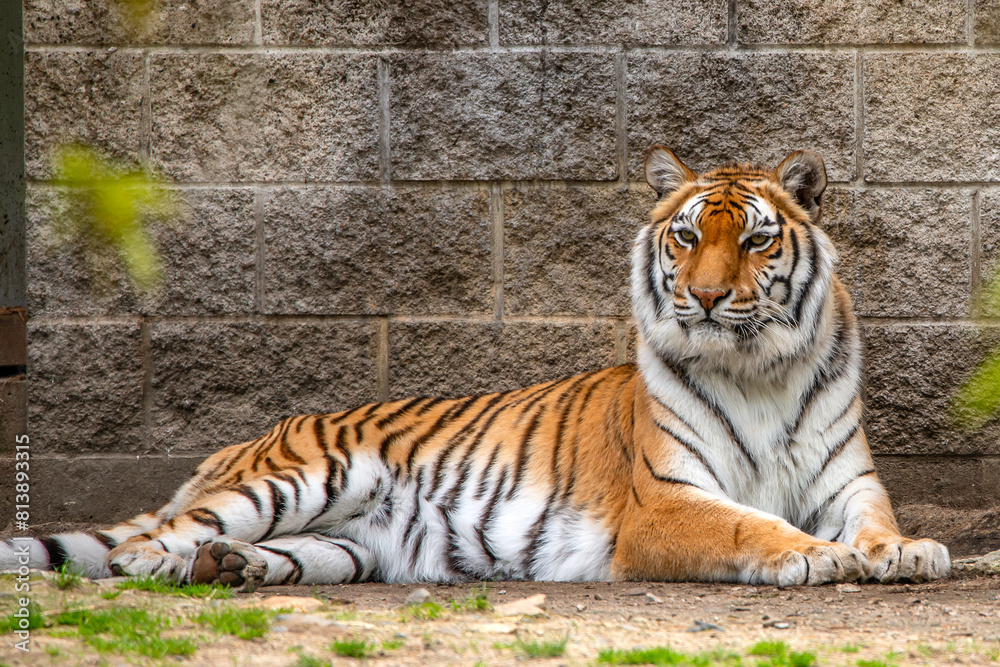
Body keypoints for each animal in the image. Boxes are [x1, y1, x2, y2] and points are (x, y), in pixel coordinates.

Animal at [2, 148, 950, 590]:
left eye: (754, 239)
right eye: (686, 236)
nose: (709, 296)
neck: (758, 368)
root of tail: (244, 440)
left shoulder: (847, 480)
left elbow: (875, 521)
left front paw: (905, 550)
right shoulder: (666, 503)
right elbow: (752, 526)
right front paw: (814, 557)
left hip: (345, 543)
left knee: (263, 550)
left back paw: (236, 569)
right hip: (301, 477)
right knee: (148, 542)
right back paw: (171, 566)